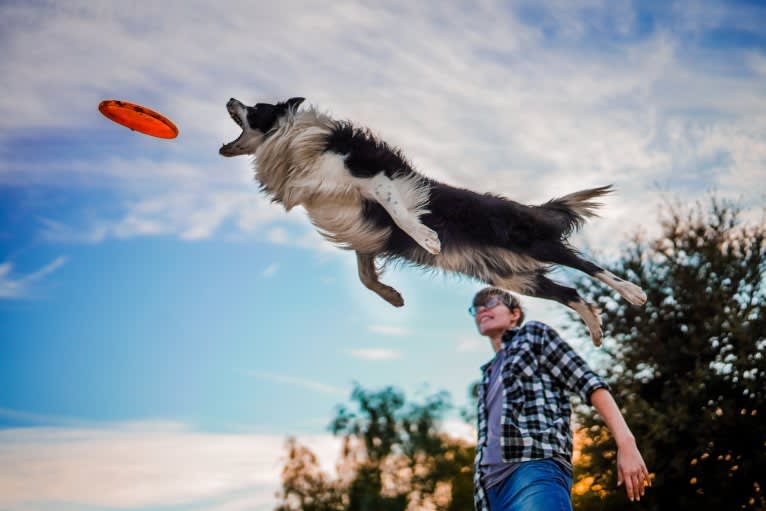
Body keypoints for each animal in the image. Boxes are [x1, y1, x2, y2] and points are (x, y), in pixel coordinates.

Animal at [219, 97, 644, 344]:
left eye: (255, 108)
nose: (230, 98)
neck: (293, 148)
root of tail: (525, 206)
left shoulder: (374, 177)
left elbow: (397, 210)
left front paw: (427, 239)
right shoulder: (364, 235)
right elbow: (365, 275)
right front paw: (393, 296)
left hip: (529, 242)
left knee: (587, 266)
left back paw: (633, 293)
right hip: (512, 277)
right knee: (570, 292)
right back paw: (595, 328)